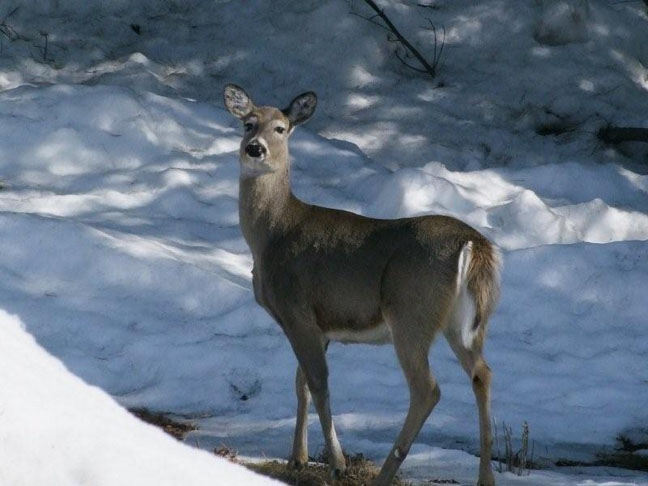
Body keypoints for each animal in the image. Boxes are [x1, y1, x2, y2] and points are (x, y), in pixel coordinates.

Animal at [223, 84, 501, 486]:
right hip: (464, 324)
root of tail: (474, 244)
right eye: (247, 123)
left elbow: (318, 383)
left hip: (411, 311)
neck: (271, 235)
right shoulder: (319, 324)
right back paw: (485, 477)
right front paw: (297, 459)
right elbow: (300, 382)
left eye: (281, 128)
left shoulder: (297, 310)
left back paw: (384, 473)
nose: (255, 148)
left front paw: (336, 463)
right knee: (483, 374)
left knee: (427, 389)